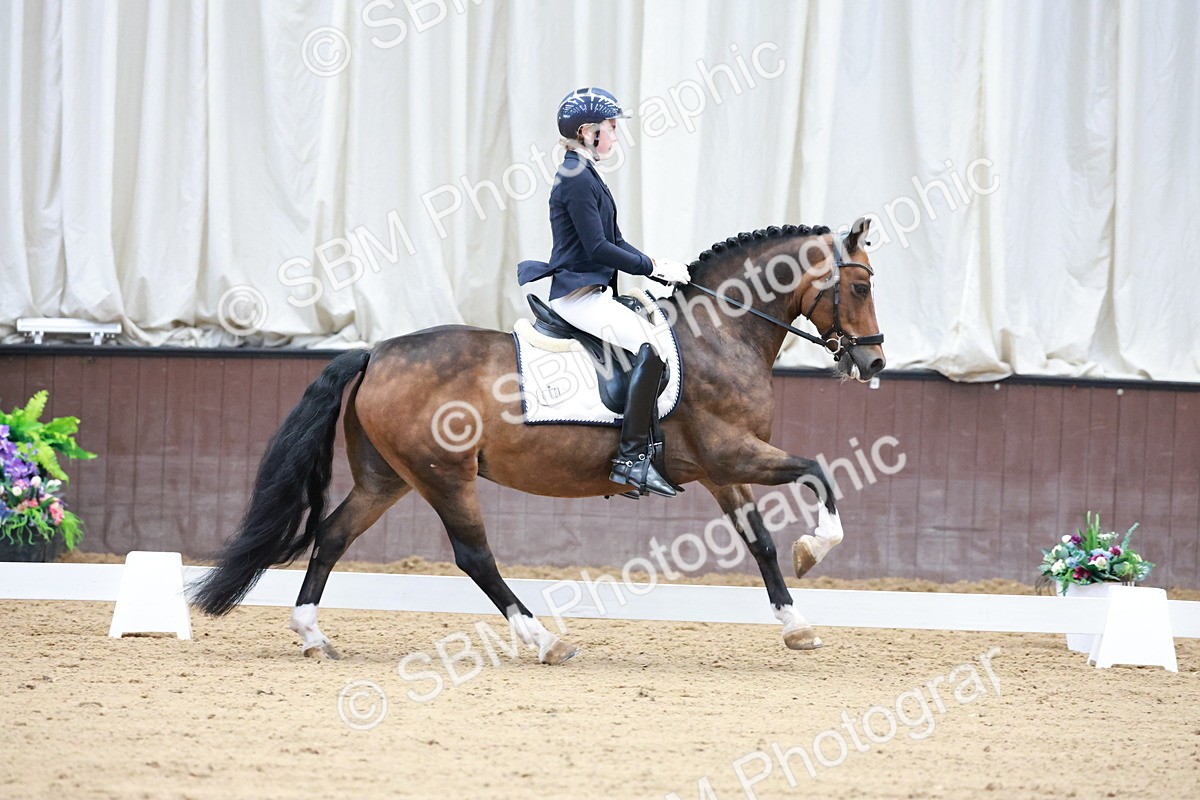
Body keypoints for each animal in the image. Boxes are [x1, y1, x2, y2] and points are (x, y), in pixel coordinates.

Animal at [190, 218, 886, 663]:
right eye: (860, 286)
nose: (874, 363)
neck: (719, 335)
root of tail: (374, 351)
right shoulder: (728, 453)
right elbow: (819, 471)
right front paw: (814, 549)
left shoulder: (722, 470)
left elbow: (761, 543)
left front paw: (798, 627)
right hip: (444, 475)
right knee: (475, 558)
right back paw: (545, 641)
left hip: (388, 477)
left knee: (334, 535)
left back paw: (311, 635)